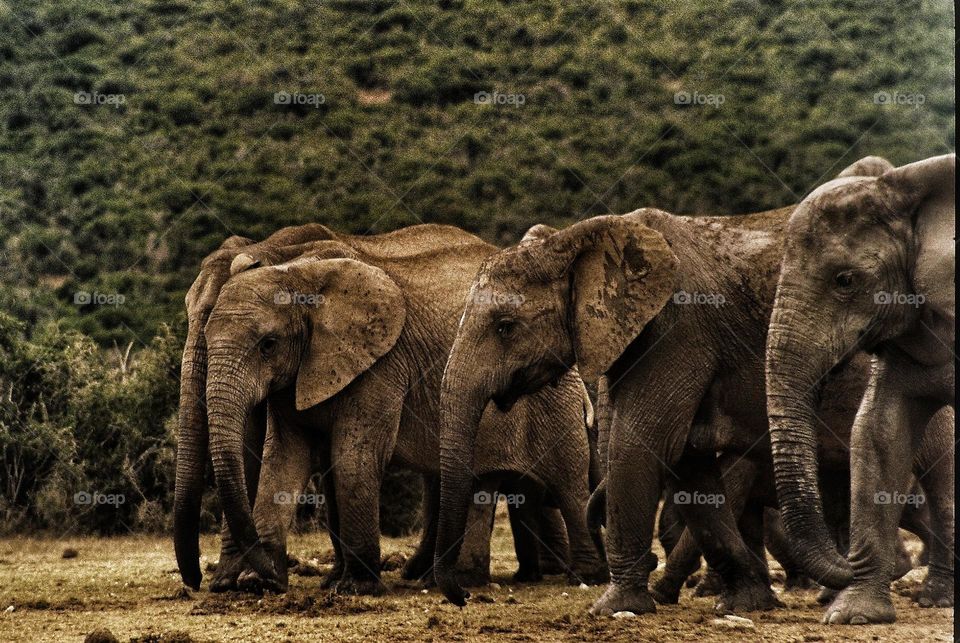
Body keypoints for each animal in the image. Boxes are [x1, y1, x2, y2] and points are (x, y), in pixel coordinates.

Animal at [173, 223, 585, 592]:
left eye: (268, 344)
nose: (195, 581)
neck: (288, 263)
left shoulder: (381, 361)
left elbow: (353, 454)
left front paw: (354, 587)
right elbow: (283, 456)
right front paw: (255, 582)